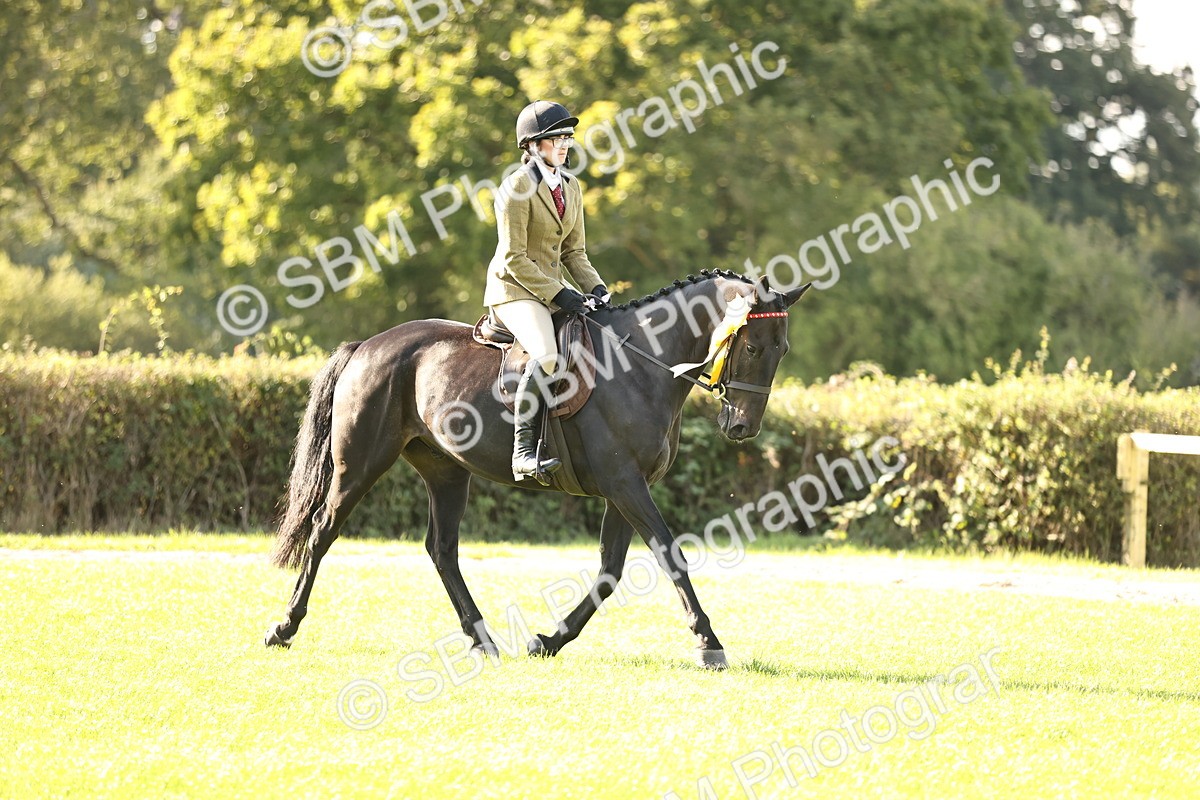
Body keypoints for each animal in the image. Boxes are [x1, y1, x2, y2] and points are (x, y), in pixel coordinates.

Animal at [265, 269, 811, 668]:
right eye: (753, 347)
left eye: (782, 350)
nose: (742, 427)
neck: (641, 366)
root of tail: (367, 346)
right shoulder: (626, 484)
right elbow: (669, 555)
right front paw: (708, 643)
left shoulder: (623, 490)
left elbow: (610, 571)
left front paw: (549, 640)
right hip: (358, 464)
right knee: (323, 531)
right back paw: (284, 627)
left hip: (446, 472)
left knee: (442, 550)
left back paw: (483, 640)